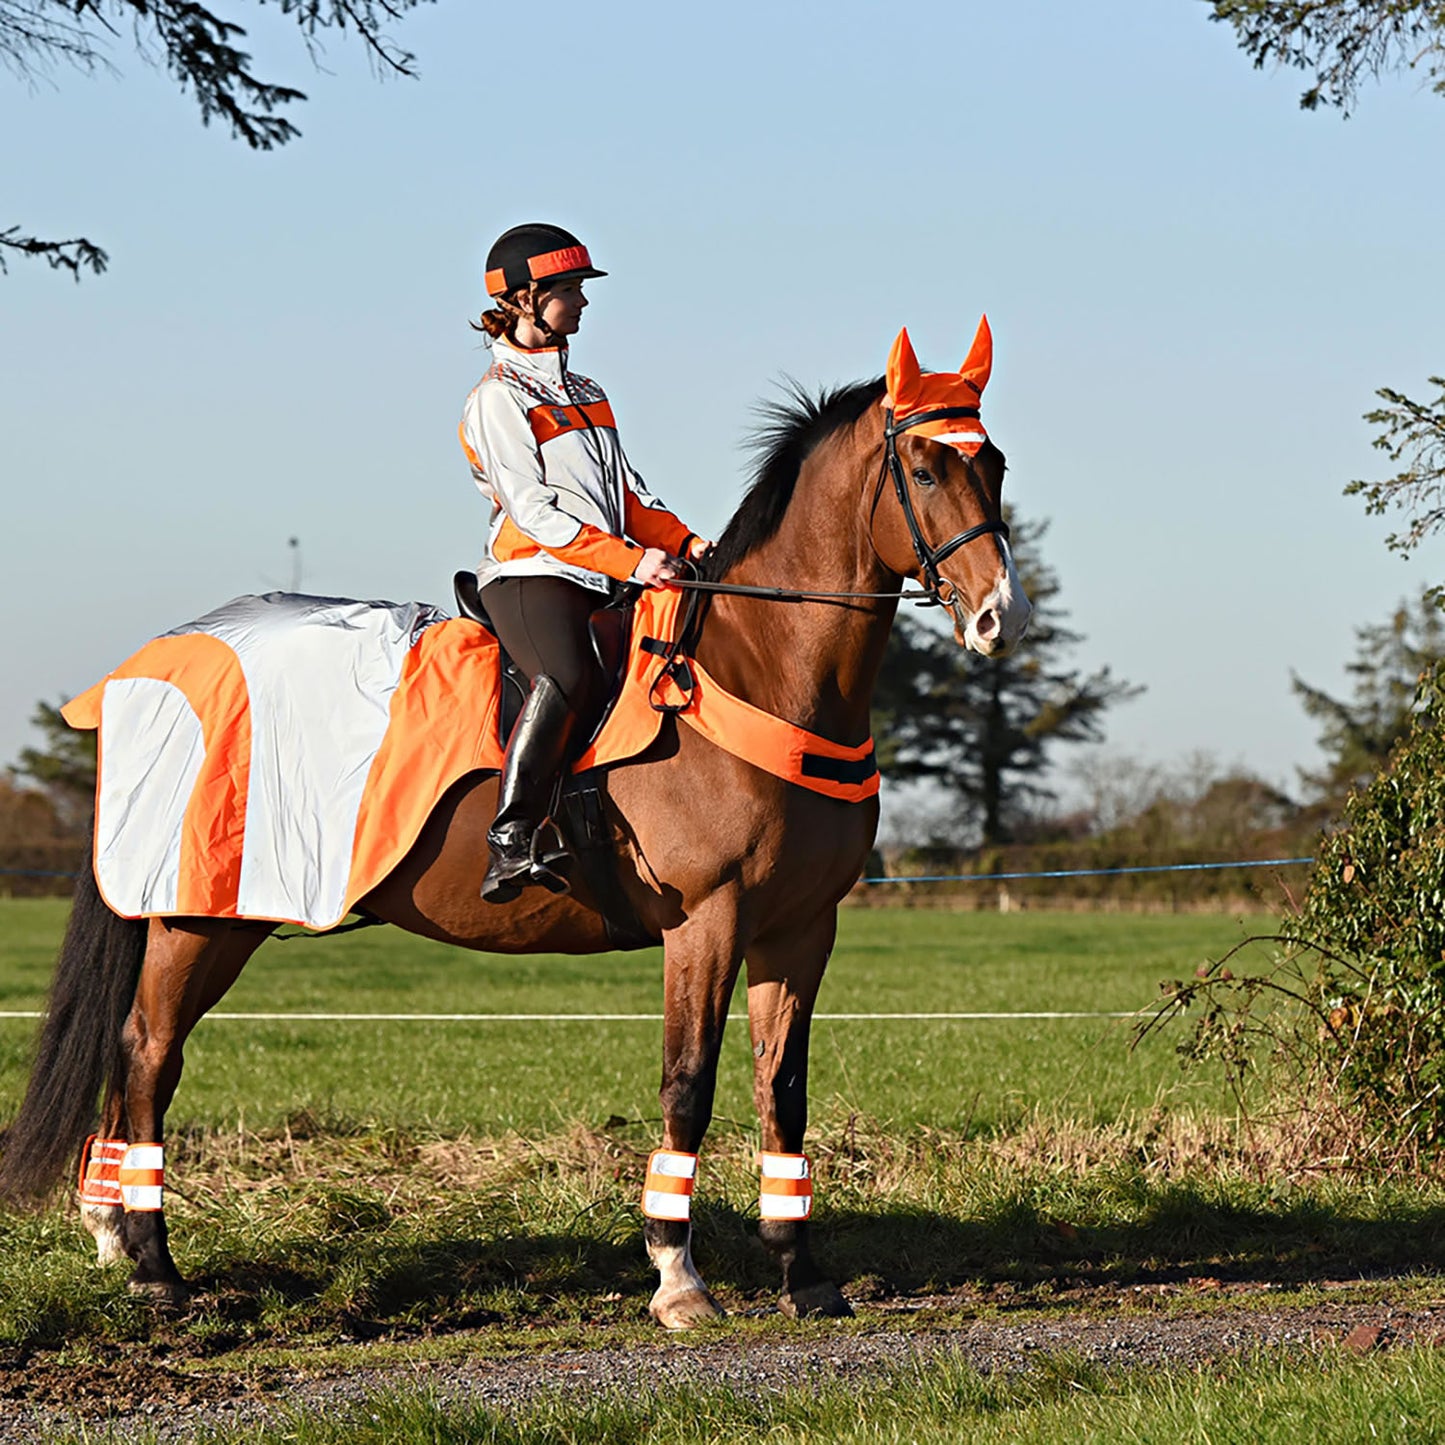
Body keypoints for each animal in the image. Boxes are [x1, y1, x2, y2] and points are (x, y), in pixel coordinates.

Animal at [0, 319, 1028, 1329]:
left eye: (995, 463)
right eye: (924, 469)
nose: (997, 617)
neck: (756, 666)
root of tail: (160, 655)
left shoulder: (801, 926)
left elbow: (782, 1088)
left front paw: (802, 1272)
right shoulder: (706, 921)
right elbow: (687, 1082)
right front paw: (676, 1277)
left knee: (135, 1055)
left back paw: (114, 1235)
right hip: (201, 916)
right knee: (148, 1054)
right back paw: (156, 1270)